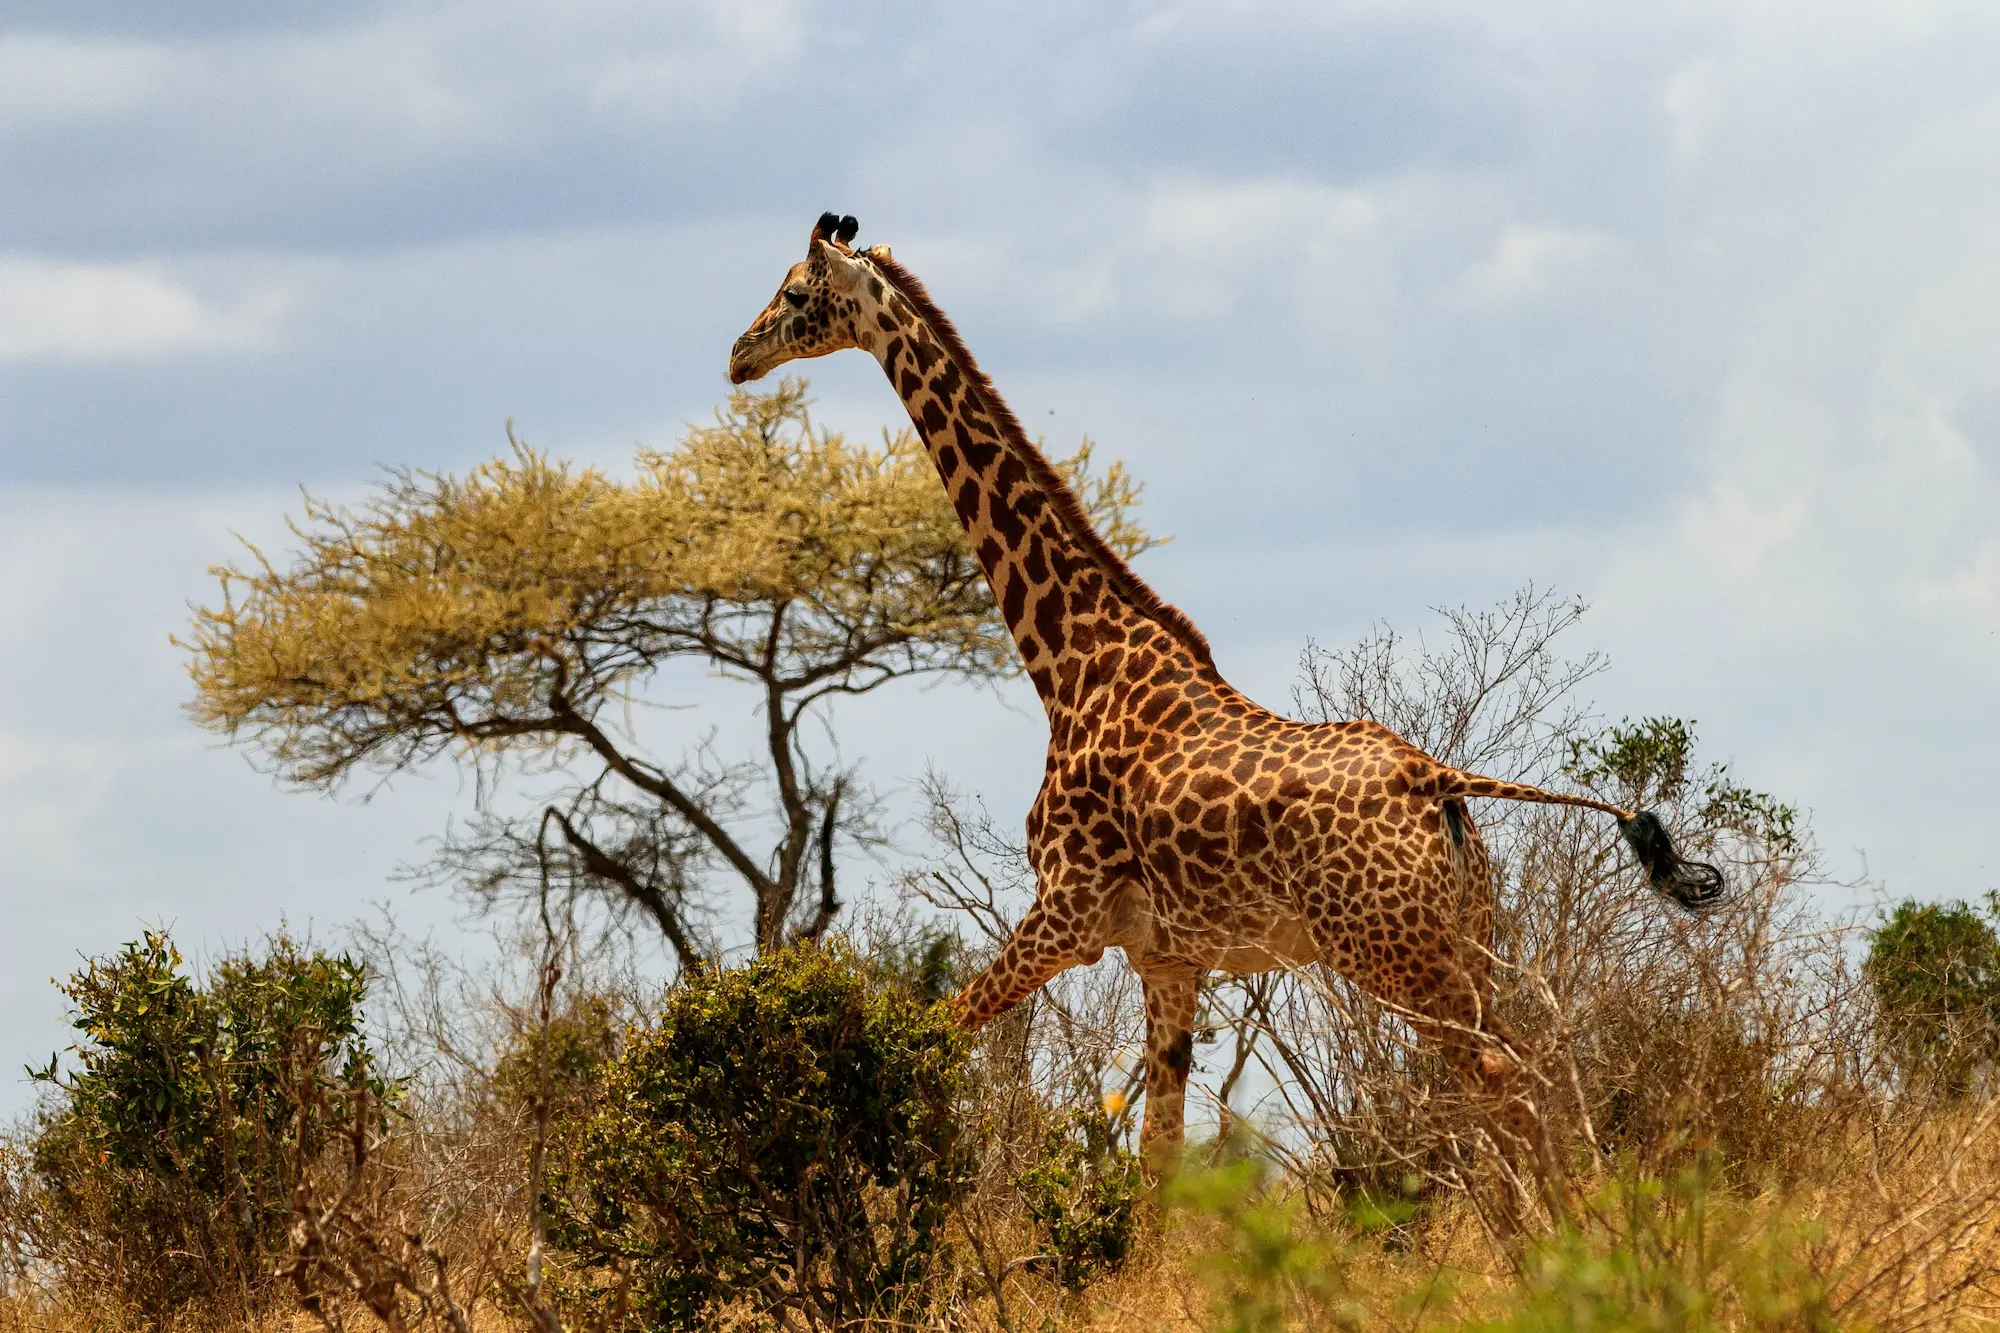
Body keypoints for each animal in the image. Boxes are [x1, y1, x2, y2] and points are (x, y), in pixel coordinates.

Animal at [727, 213, 1724, 1183]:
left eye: (797, 292)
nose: (738, 353)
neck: (1071, 662)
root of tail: (1437, 779)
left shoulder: (1067, 912)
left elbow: (927, 1036)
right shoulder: (1168, 956)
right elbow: (1158, 1156)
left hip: (1392, 951)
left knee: (1503, 1078)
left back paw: (1561, 1235)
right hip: (1464, 939)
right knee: (1517, 1074)